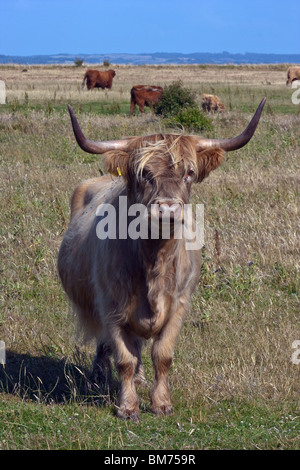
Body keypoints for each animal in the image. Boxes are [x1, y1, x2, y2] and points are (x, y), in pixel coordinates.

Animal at [58, 97, 268, 420]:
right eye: (144, 174)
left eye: (189, 173)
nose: (168, 209)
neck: (154, 261)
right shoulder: (111, 306)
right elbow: (124, 358)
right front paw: (127, 406)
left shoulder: (179, 304)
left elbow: (162, 355)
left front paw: (161, 402)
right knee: (108, 344)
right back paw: (99, 374)